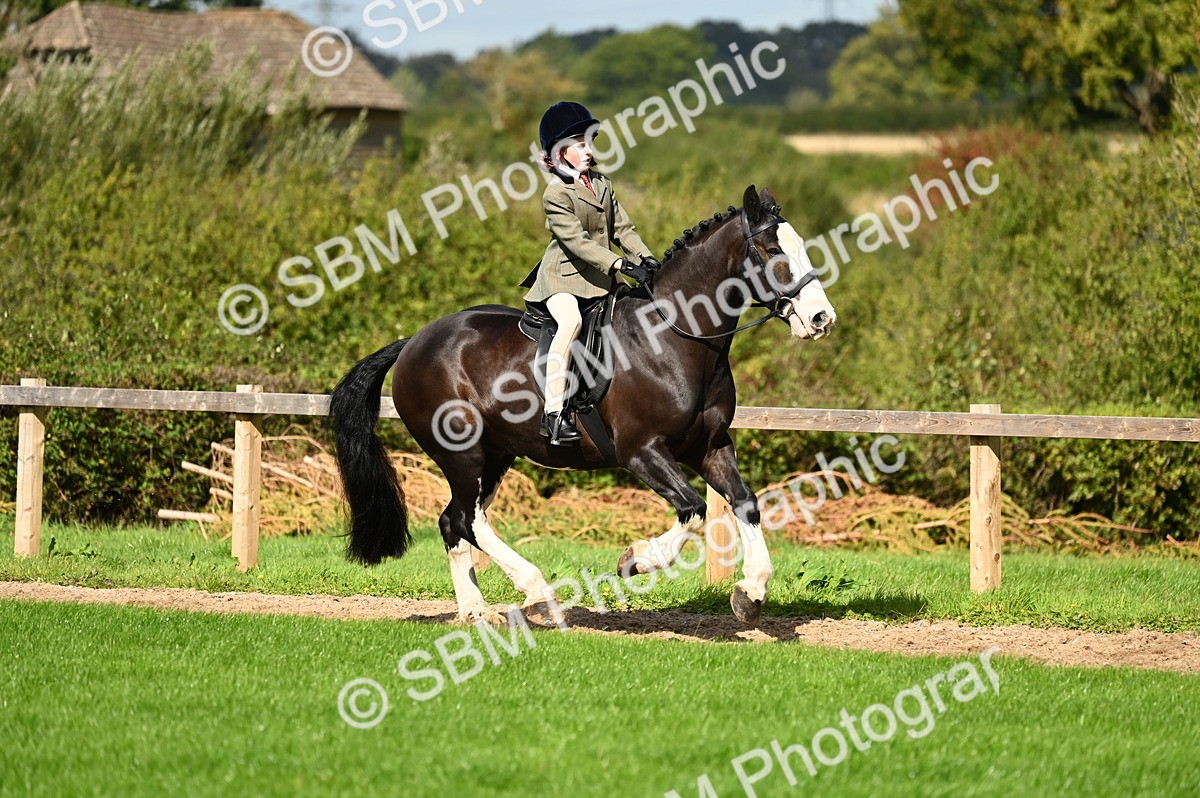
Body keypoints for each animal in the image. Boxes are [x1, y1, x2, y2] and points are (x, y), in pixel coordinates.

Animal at [329, 185, 837, 628]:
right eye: (771, 252)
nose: (821, 319)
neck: (675, 335)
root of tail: (414, 341)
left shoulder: (709, 446)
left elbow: (745, 503)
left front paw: (750, 593)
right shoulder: (641, 451)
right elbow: (692, 508)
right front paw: (635, 561)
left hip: (496, 454)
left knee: (456, 520)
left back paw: (478, 612)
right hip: (461, 452)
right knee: (467, 518)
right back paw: (537, 593)